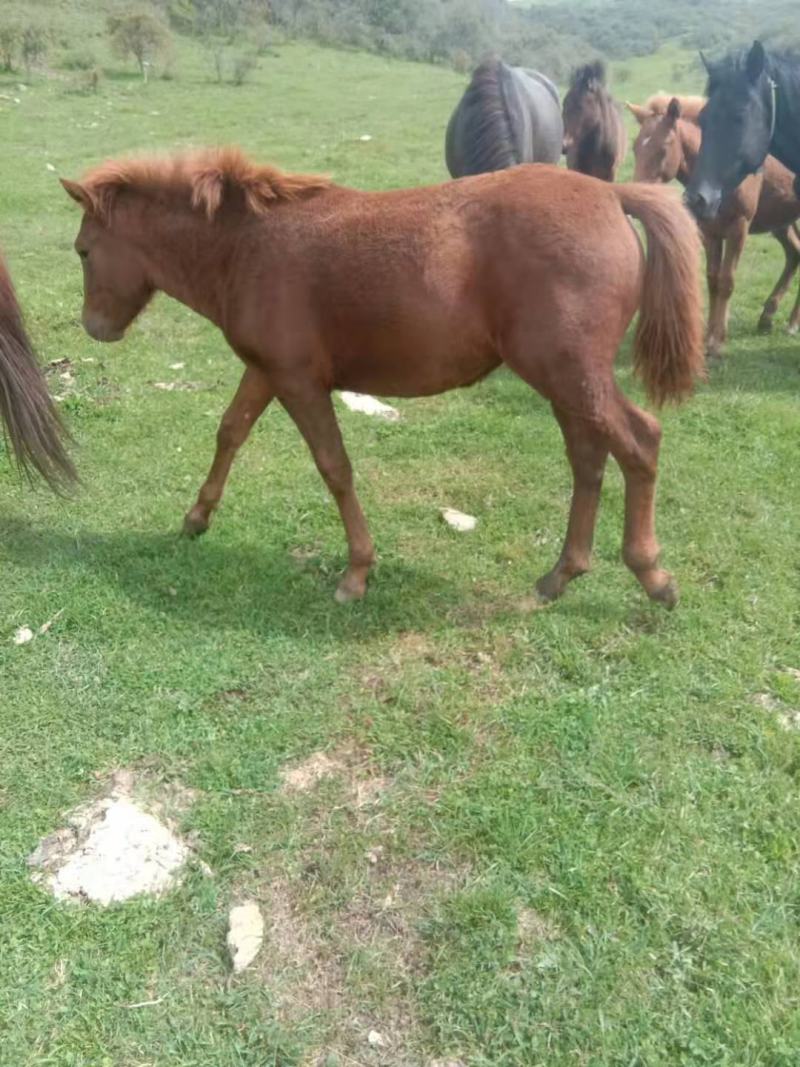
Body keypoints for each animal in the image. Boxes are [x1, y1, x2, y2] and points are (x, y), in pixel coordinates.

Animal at [60, 147, 703, 608]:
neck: (246, 247)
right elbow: (230, 431)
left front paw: (356, 573)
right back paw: (560, 576)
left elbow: (334, 467)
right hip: (566, 382)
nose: (95, 327)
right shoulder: (265, 370)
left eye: (84, 250)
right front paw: (196, 519)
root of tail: (611, 193)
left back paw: (652, 575)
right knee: (588, 460)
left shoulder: (298, 382)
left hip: (568, 374)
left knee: (640, 442)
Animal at [629, 95, 800, 355]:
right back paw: (770, 318)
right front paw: (708, 338)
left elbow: (727, 281)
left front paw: (718, 342)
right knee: (794, 252)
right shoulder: (709, 231)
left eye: (664, 148)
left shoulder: (738, 228)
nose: (638, 198)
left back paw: (791, 323)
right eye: (635, 147)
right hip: (781, 218)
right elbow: (713, 280)